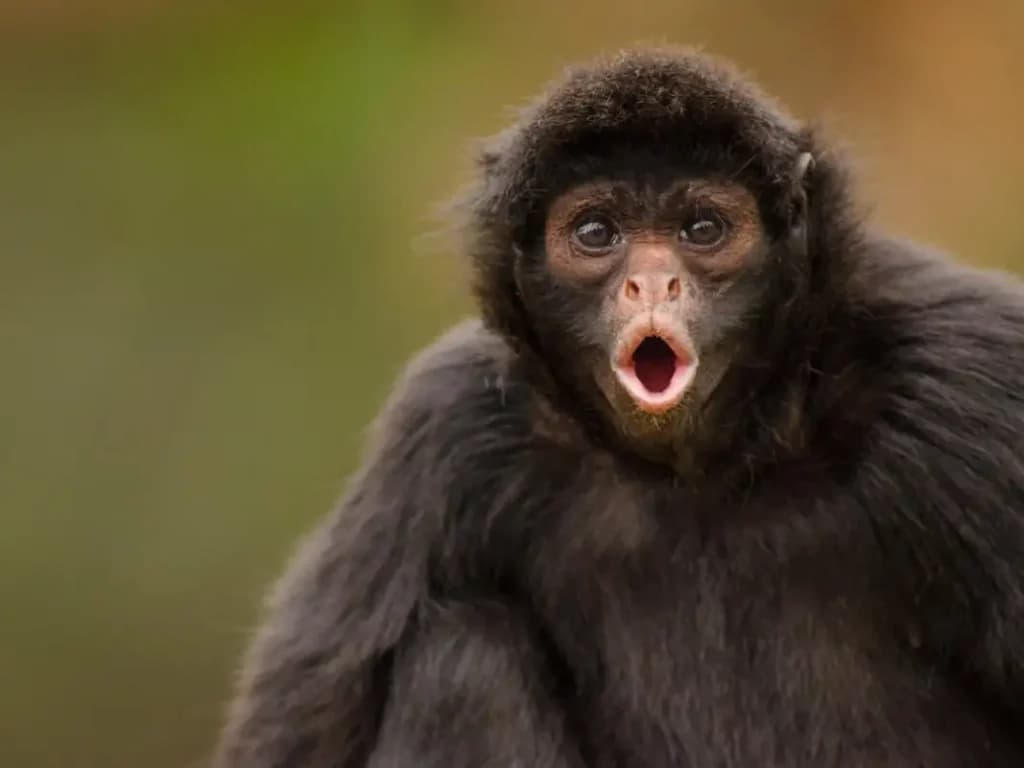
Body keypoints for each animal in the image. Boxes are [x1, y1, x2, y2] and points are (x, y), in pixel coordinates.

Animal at [212, 48, 1024, 767]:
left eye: (703, 230)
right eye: (597, 233)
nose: (651, 283)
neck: (711, 469)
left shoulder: (969, 381)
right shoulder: (447, 425)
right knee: (464, 656)